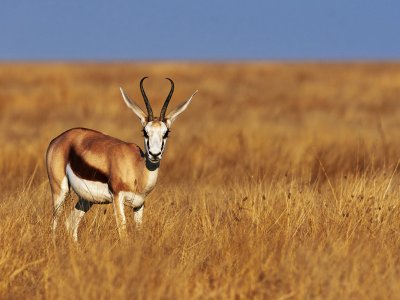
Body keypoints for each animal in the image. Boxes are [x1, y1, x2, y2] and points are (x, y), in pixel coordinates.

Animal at [46, 77, 198, 241]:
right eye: (145, 131)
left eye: (166, 132)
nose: (154, 154)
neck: (138, 168)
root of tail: (58, 139)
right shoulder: (117, 198)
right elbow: (123, 232)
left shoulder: (139, 204)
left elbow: (138, 231)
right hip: (60, 192)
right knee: (54, 224)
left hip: (86, 199)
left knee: (70, 223)